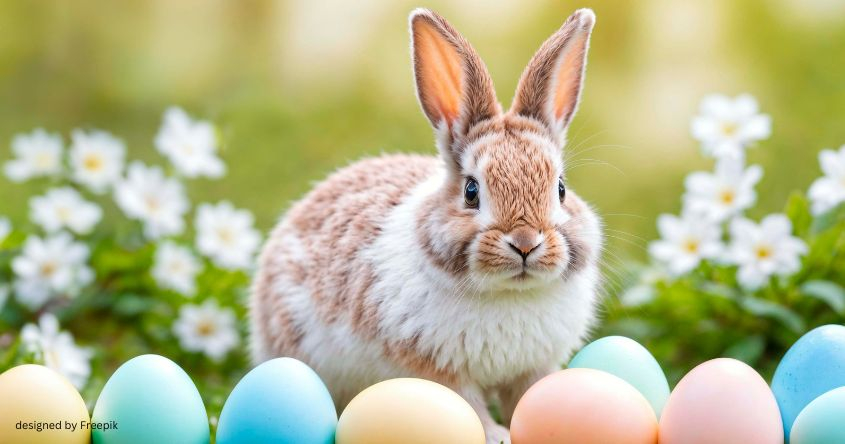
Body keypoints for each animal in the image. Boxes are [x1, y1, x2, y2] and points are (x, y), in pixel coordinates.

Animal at [249, 7, 600, 444]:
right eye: (471, 191)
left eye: (561, 188)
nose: (524, 242)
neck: (509, 293)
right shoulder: (440, 371)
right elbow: (469, 407)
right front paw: (496, 435)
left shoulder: (534, 367)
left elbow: (531, 396)